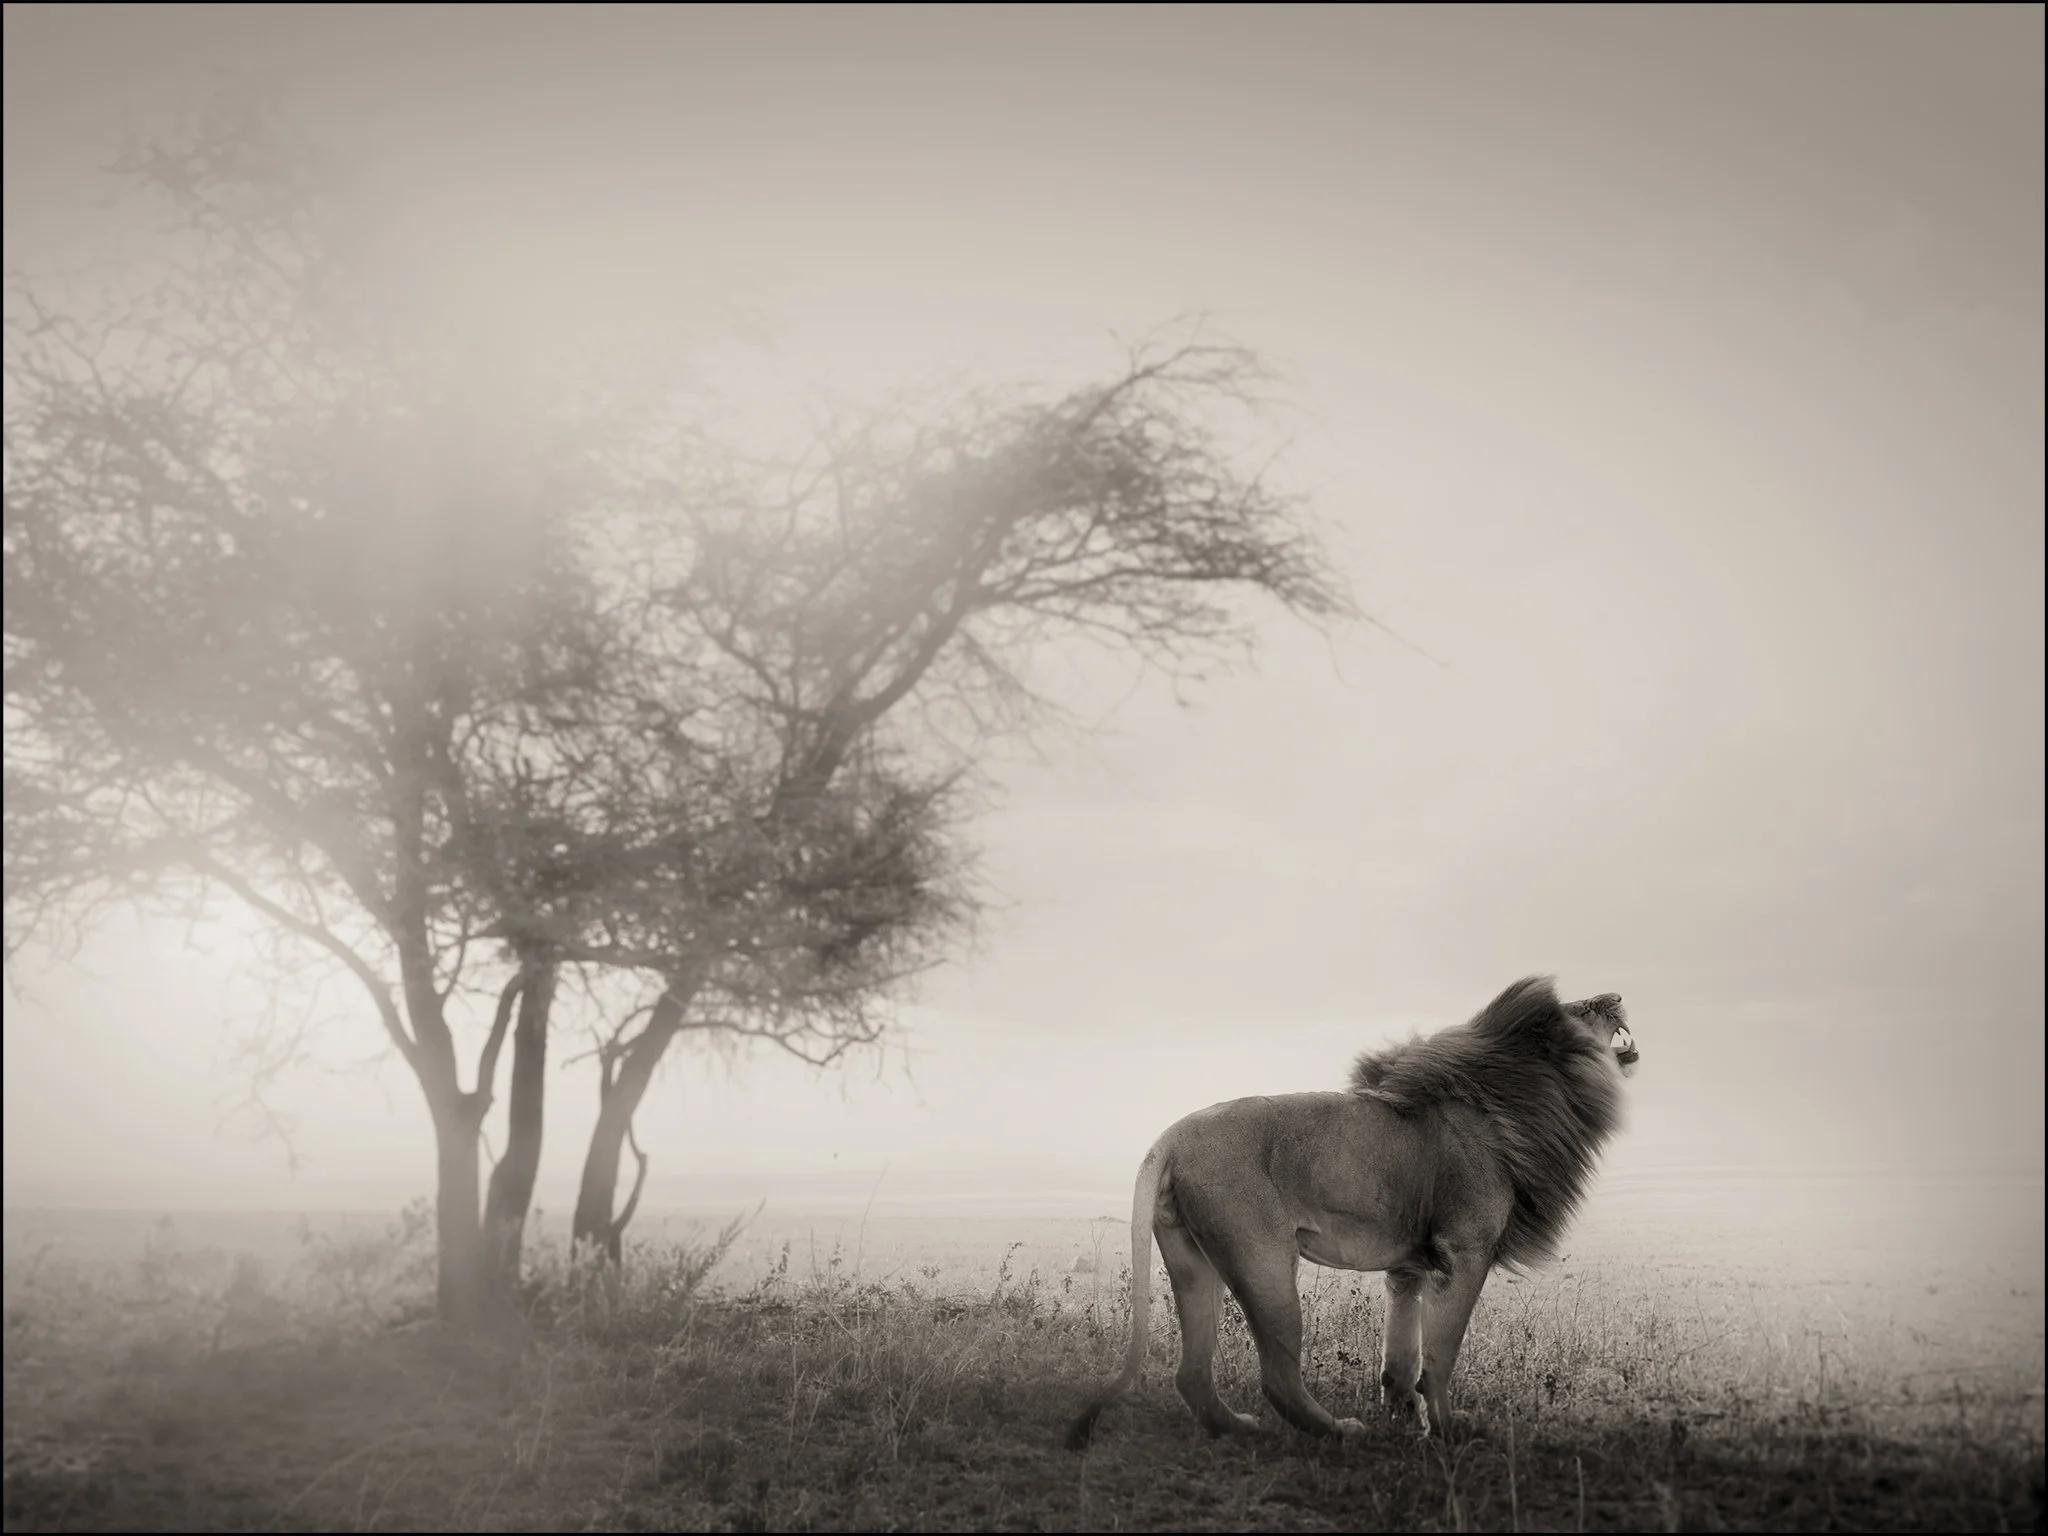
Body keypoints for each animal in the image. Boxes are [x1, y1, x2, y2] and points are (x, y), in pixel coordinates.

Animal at [1065, 977, 1638, 1449]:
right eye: (1585, 1007)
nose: (1618, 993)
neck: (1525, 1100)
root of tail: (1169, 1139)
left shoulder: (1410, 1266)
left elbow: (1402, 1355)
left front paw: (1403, 1417)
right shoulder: (1464, 1253)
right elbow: (1441, 1355)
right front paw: (1447, 1431)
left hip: (1192, 1261)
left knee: (1191, 1373)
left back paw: (1236, 1429)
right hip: (1263, 1262)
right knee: (1276, 1377)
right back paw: (1338, 1431)